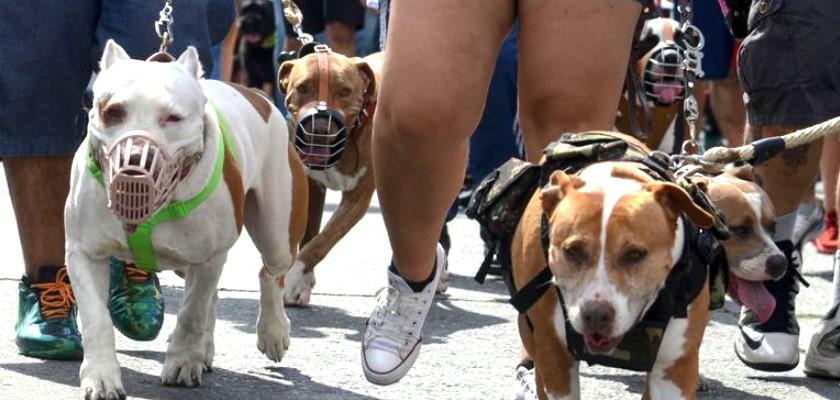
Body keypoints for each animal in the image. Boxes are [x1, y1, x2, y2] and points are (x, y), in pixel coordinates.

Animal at [65, 41, 308, 400]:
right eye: (113, 112)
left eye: (173, 118)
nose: (134, 159)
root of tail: (254, 94)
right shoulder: (84, 252)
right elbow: (96, 317)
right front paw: (101, 376)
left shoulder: (209, 256)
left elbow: (191, 312)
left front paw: (181, 363)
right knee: (214, 295)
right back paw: (205, 350)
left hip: (277, 231)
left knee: (269, 274)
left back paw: (273, 331)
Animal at [276, 49, 380, 306]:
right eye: (303, 87)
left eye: (344, 91)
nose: (321, 128)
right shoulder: (311, 186)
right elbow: (310, 235)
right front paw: (303, 282)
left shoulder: (357, 199)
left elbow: (323, 241)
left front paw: (294, 277)